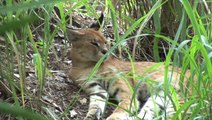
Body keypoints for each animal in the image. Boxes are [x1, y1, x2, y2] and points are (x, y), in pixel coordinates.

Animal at [66, 14, 194, 119]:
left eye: (105, 42)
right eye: (93, 43)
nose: (106, 51)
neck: (85, 65)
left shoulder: (126, 91)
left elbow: (122, 108)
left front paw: (113, 117)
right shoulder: (95, 89)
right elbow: (96, 105)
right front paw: (91, 116)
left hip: (182, 100)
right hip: (161, 96)